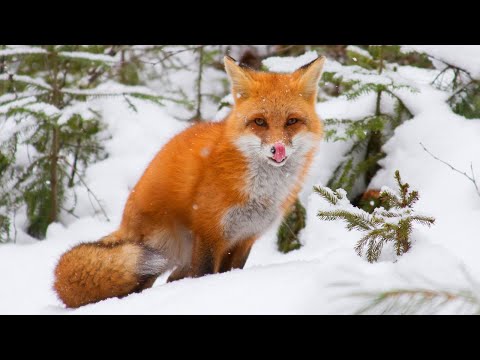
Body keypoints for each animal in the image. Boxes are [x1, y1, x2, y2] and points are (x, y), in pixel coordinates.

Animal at [53, 54, 326, 308]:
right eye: (260, 121)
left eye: (292, 121)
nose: (277, 149)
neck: (260, 193)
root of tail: (125, 222)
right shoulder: (209, 232)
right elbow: (205, 275)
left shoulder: (244, 239)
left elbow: (231, 271)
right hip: (153, 256)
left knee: (172, 279)